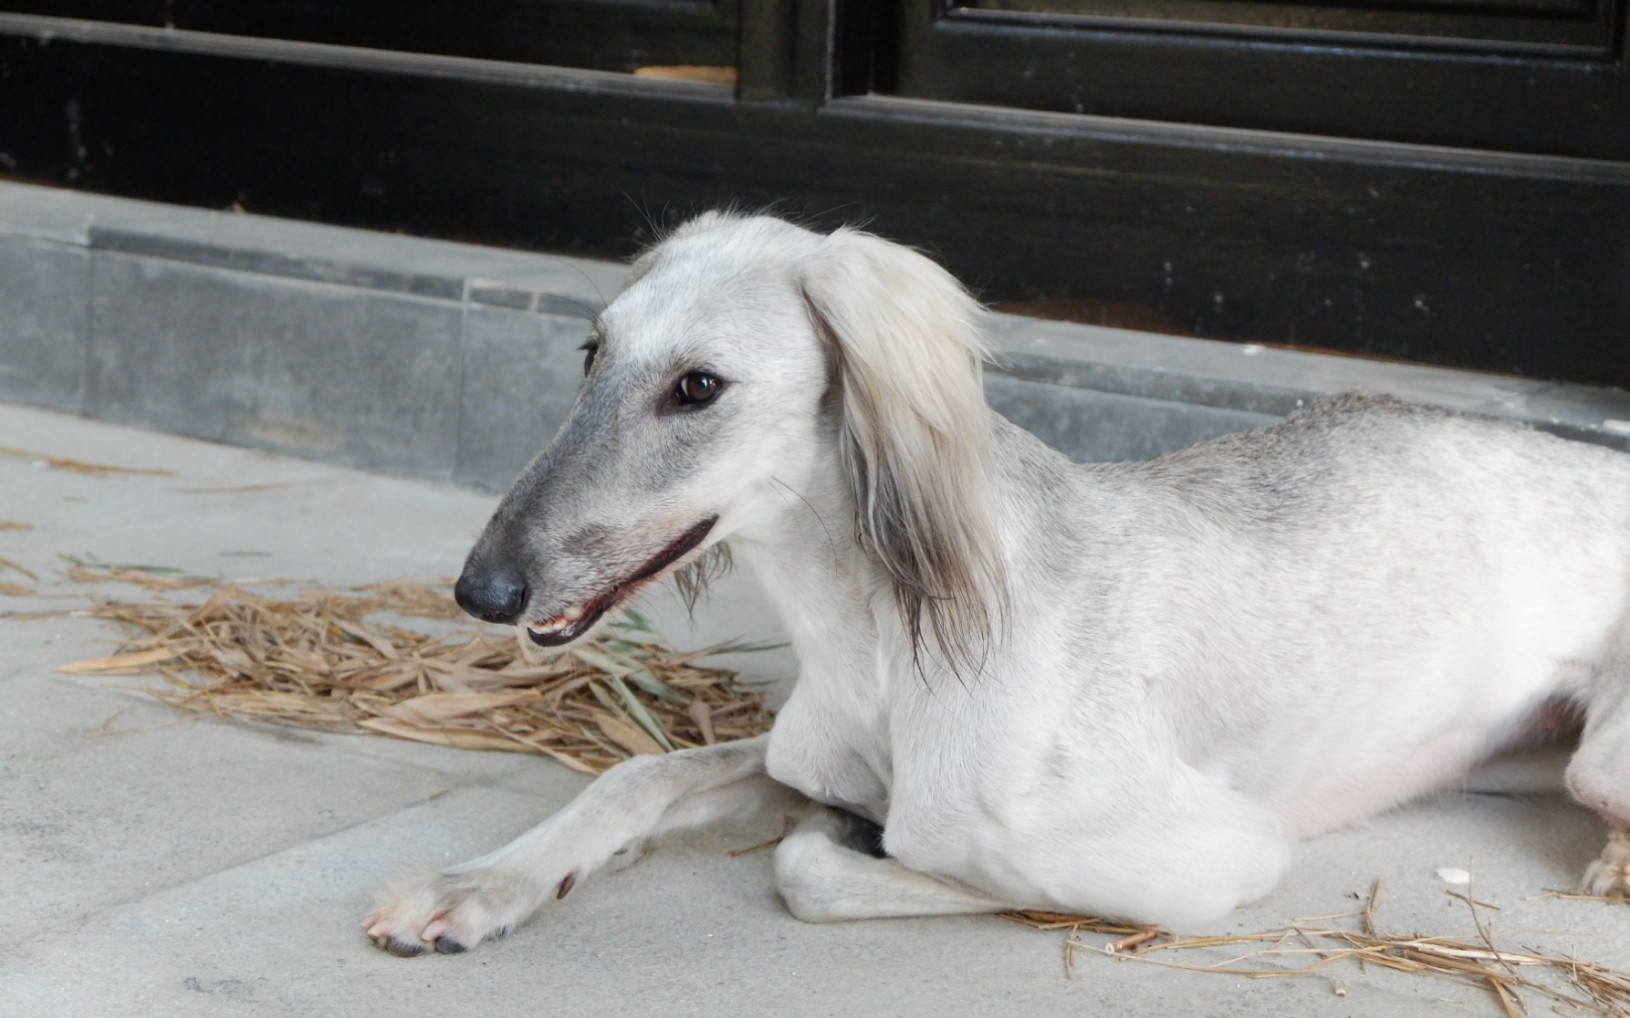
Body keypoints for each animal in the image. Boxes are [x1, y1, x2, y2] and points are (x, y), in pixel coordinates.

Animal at [363, 211, 1630, 951]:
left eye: (698, 386)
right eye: (591, 353)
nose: (482, 590)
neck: (885, 636)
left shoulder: (1214, 854)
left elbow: (824, 866)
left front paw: (848, 844)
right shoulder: (798, 753)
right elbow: (638, 774)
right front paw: (477, 885)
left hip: (1594, 757)